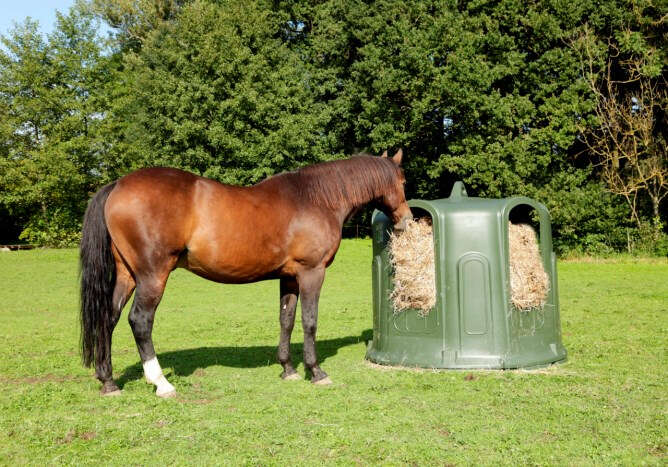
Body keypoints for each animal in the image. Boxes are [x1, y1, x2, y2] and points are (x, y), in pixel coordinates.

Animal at [80, 150, 411, 397]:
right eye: (403, 180)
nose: (406, 220)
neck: (315, 199)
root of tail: (117, 186)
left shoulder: (288, 277)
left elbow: (286, 320)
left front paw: (288, 369)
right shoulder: (311, 273)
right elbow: (310, 321)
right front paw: (315, 371)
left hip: (127, 276)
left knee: (108, 318)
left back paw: (108, 381)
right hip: (152, 276)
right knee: (140, 321)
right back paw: (161, 383)